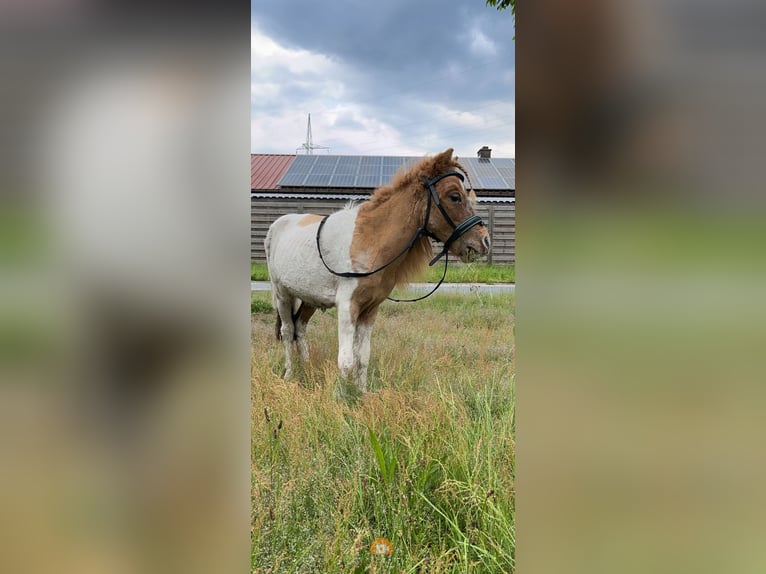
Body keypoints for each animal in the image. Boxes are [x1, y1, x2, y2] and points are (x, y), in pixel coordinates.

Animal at [264, 147, 492, 392]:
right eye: (454, 196)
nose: (484, 241)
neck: (370, 240)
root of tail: (276, 225)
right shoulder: (347, 307)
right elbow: (346, 360)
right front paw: (340, 397)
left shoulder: (370, 309)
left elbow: (362, 356)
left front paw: (361, 393)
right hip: (282, 294)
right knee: (287, 331)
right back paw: (289, 373)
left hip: (309, 299)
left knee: (300, 327)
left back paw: (306, 369)